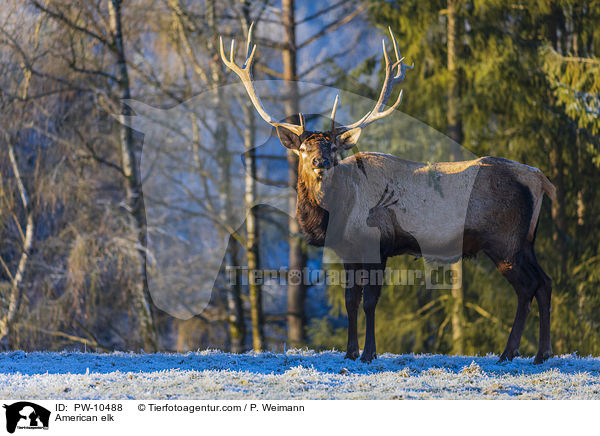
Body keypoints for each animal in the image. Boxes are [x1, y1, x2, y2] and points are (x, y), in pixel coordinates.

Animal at [221, 24, 556, 364]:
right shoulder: (348, 252)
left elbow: (370, 301)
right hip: (525, 241)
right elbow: (350, 300)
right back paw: (540, 353)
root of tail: (539, 179)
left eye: (332, 147)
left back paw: (509, 352)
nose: (320, 163)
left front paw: (369, 353)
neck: (336, 215)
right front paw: (349, 352)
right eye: (303, 149)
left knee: (527, 287)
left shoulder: (377, 243)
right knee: (545, 282)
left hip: (504, 241)